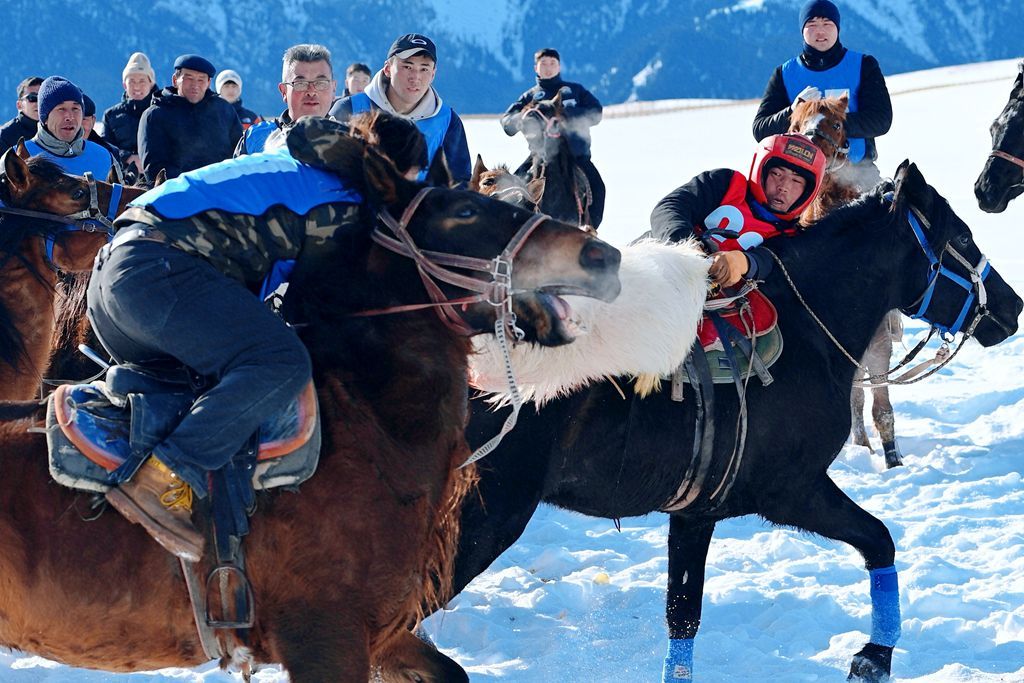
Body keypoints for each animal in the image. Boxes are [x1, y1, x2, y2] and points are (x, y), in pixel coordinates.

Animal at [444, 163, 1019, 683]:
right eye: (962, 237)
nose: (1012, 307)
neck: (808, 328)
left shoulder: (695, 513)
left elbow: (683, 617)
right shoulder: (793, 491)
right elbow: (879, 539)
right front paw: (874, 656)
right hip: (489, 514)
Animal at [790, 96, 905, 466]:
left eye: (838, 123)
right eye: (797, 123)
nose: (811, 147)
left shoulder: (878, 342)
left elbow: (882, 407)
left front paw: (893, 459)